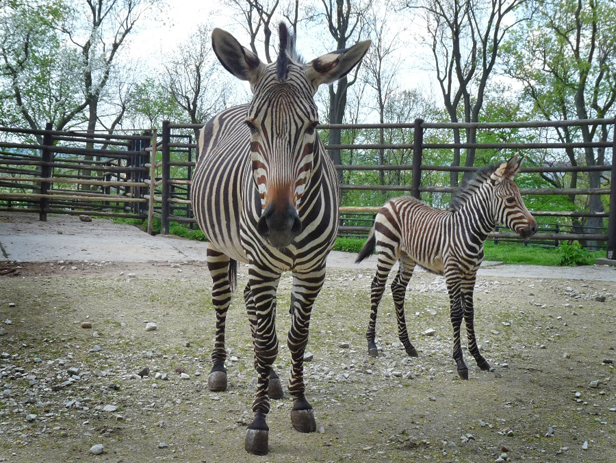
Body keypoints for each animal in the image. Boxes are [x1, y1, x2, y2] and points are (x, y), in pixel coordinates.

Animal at [190, 23, 368, 454]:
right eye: (254, 126)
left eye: (314, 126)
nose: (279, 224)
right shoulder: (263, 266)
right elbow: (267, 342)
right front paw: (258, 423)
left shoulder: (313, 271)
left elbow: (295, 338)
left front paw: (300, 403)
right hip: (219, 246)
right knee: (223, 302)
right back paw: (219, 369)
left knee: (255, 313)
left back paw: (270, 381)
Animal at [354, 156, 536, 380]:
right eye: (510, 200)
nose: (534, 228)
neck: (470, 231)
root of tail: (392, 201)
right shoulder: (452, 273)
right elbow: (456, 313)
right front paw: (460, 362)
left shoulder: (471, 274)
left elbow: (470, 312)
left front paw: (479, 358)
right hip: (387, 251)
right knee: (377, 287)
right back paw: (371, 344)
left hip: (408, 257)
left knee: (397, 289)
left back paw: (408, 345)